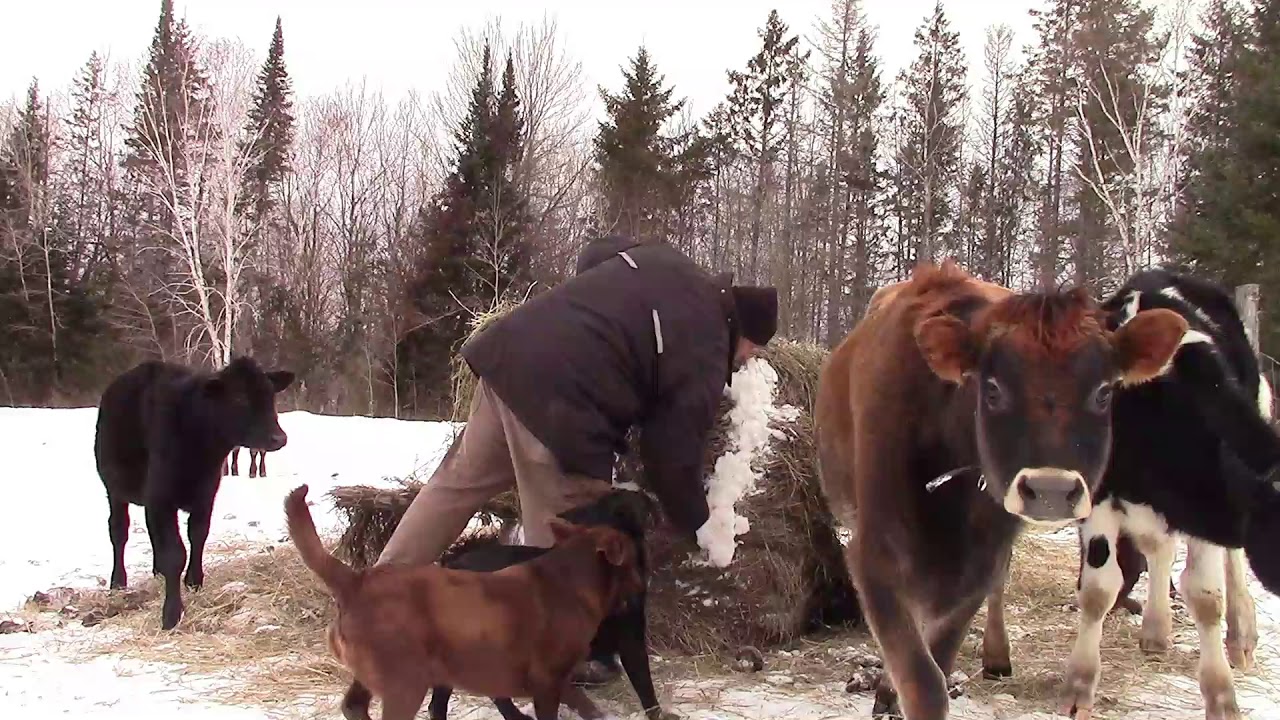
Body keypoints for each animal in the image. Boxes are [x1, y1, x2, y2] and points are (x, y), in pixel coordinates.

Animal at [94, 356, 295, 630]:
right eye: (238, 398)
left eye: (270, 395)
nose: (279, 437)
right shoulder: (161, 496)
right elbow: (175, 553)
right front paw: (171, 614)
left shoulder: (206, 494)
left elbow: (198, 535)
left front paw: (194, 581)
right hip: (114, 489)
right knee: (118, 530)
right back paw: (118, 581)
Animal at [816, 259, 1193, 720]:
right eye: (992, 389)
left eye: (1104, 392)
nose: (1050, 489)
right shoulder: (875, 554)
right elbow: (921, 678)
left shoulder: (980, 561)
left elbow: (938, 659)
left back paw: (995, 656)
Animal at [1056, 268, 1280, 720]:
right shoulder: (1099, 492)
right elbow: (1099, 589)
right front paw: (1079, 685)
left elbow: (1206, 596)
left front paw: (1221, 697)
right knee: (1158, 548)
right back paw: (1156, 631)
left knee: (1229, 565)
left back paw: (1241, 636)